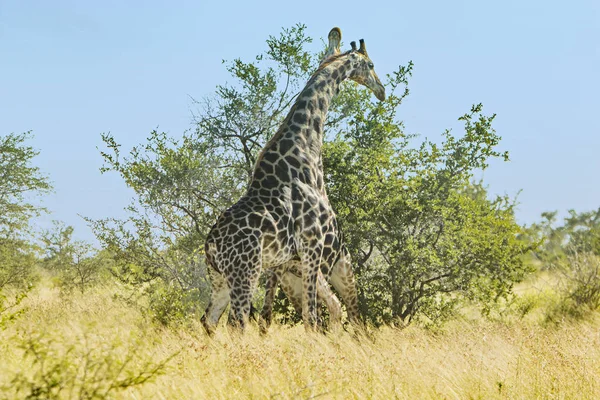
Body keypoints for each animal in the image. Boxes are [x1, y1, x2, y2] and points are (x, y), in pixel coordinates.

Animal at [202, 27, 386, 334]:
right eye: (371, 64)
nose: (382, 90)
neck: (306, 150)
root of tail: (211, 245)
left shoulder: (296, 260)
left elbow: (317, 315)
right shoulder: (312, 247)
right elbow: (312, 317)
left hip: (220, 279)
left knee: (210, 320)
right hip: (246, 272)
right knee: (238, 321)